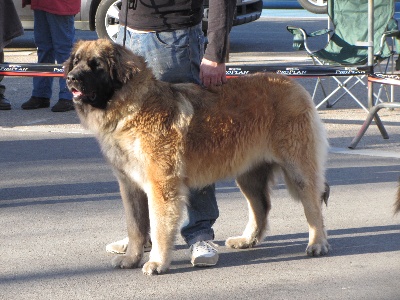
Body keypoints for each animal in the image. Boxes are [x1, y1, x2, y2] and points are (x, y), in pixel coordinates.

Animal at [65, 38, 328, 276]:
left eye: (96, 65)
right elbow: (136, 227)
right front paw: (131, 259)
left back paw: (317, 243)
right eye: (76, 62)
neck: (131, 107)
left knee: (312, 204)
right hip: (248, 174)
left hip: (298, 167)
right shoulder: (130, 185)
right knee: (261, 206)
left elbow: (158, 226)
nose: (70, 78)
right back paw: (247, 240)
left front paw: (157, 262)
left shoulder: (161, 184)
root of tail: (293, 84)